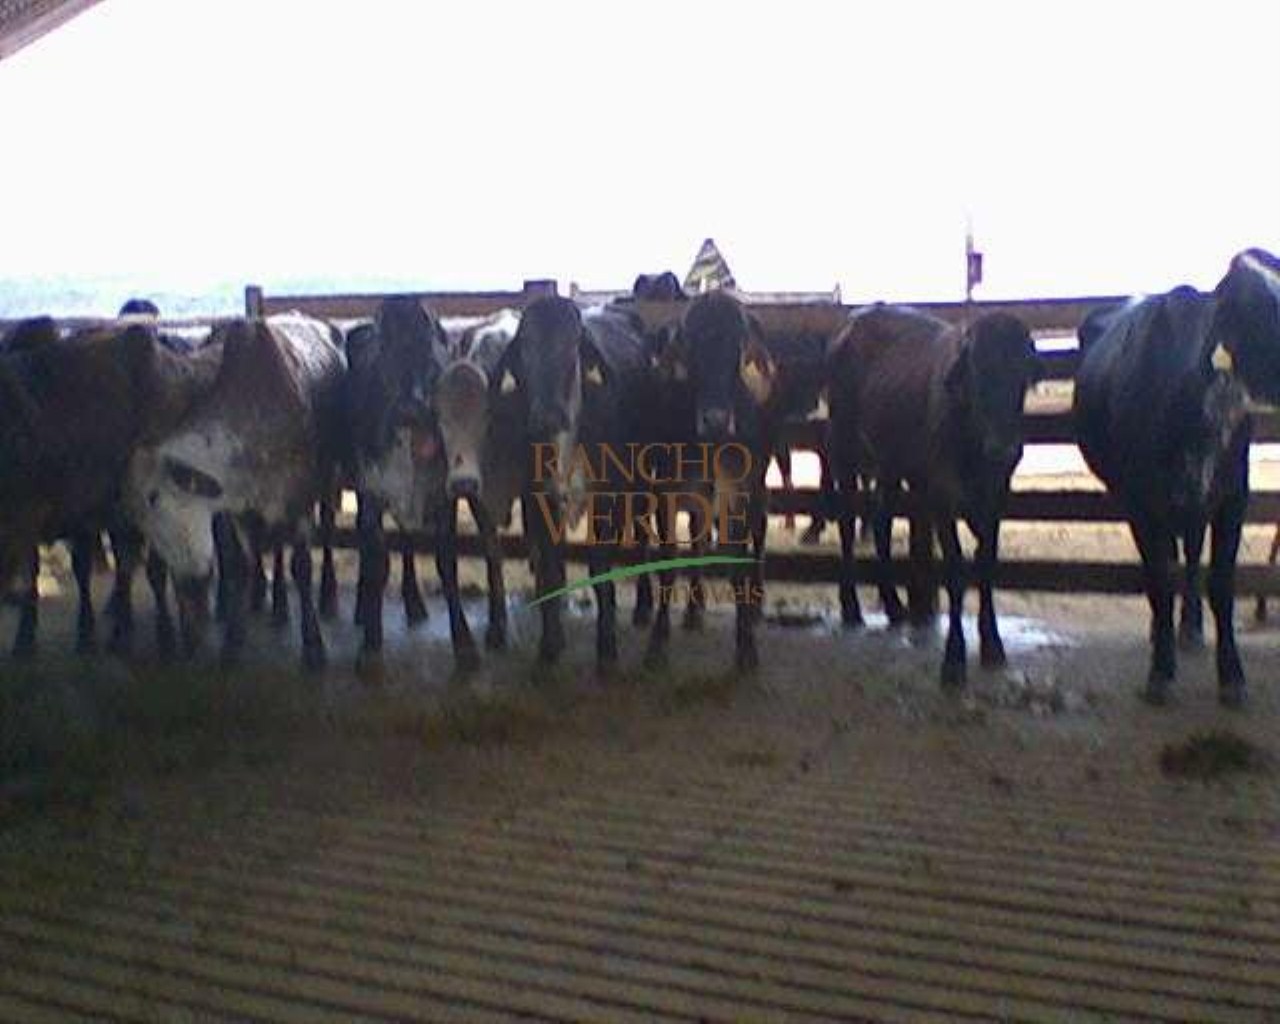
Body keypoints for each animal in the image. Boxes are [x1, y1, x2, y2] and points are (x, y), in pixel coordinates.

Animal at [829, 305, 1039, 686]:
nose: (1002, 448)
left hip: (890, 464)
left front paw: (992, 645)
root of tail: (852, 323)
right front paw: (954, 658)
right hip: (844, 448)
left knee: (880, 520)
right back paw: (851, 607)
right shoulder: (942, 495)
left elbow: (986, 565)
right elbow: (955, 571)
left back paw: (894, 606)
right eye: (977, 372)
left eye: (1021, 374)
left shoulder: (995, 495)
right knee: (848, 523)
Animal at [1075, 252, 1280, 706]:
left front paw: (1232, 677)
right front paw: (1160, 673)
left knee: (1189, 551)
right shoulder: (1140, 501)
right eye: (1261, 309)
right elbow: (1159, 578)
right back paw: (1163, 630)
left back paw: (1190, 629)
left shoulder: (1232, 497)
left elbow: (1220, 582)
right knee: (1167, 560)